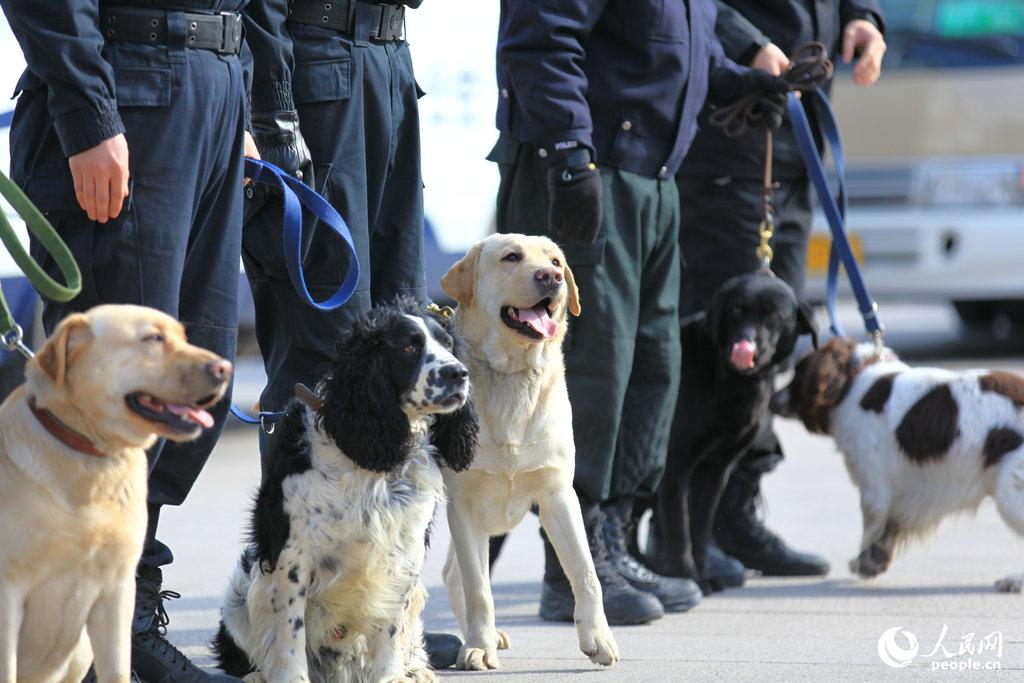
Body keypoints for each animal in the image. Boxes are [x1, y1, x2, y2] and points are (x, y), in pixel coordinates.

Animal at [0, 305, 232, 683]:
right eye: (153, 338)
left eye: (184, 336)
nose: (225, 368)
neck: (94, 467)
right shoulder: (7, 598)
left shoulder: (116, 595)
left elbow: (118, 670)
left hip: (80, 650)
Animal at [438, 233, 614, 667]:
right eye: (511, 257)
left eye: (555, 261)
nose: (551, 277)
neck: (513, 375)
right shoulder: (463, 504)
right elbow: (480, 588)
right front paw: (477, 646)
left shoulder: (559, 496)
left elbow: (586, 573)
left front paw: (598, 638)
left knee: (451, 573)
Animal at [643, 272, 819, 593]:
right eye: (737, 310)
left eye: (774, 316)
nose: (745, 343)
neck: (721, 372)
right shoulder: (675, 469)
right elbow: (679, 531)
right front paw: (692, 579)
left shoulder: (715, 471)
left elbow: (700, 531)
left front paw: (703, 575)